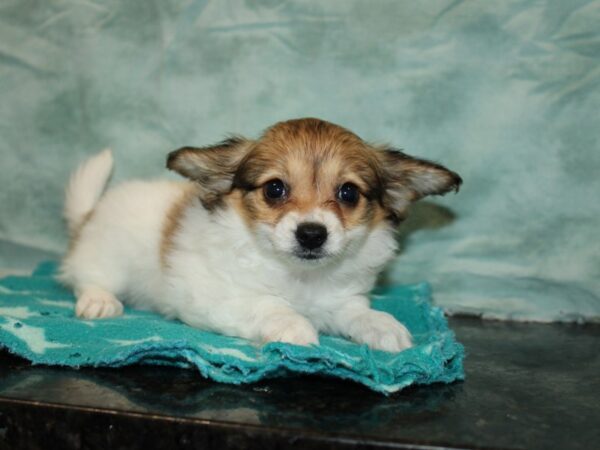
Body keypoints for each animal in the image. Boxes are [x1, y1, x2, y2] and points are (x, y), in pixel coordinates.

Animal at [58, 118, 462, 354]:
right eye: (274, 189)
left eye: (348, 193)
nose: (312, 234)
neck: (299, 278)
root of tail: (91, 214)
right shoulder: (217, 296)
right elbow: (268, 305)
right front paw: (294, 326)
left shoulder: (340, 300)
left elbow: (357, 313)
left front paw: (382, 325)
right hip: (107, 259)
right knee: (86, 277)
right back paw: (99, 301)